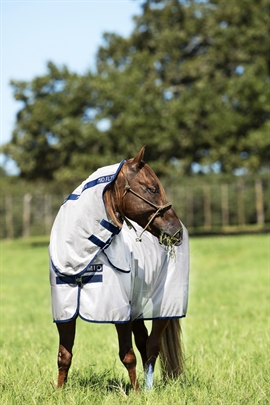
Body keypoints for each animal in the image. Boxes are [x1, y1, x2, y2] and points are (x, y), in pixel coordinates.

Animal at [49, 145, 190, 388]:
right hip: (137, 309)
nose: (176, 232)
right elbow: (64, 355)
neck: (80, 257)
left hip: (165, 308)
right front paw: (59, 391)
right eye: (152, 188)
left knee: (153, 345)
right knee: (144, 342)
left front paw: (136, 393)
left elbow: (127, 355)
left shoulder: (118, 311)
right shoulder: (64, 311)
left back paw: (148, 389)